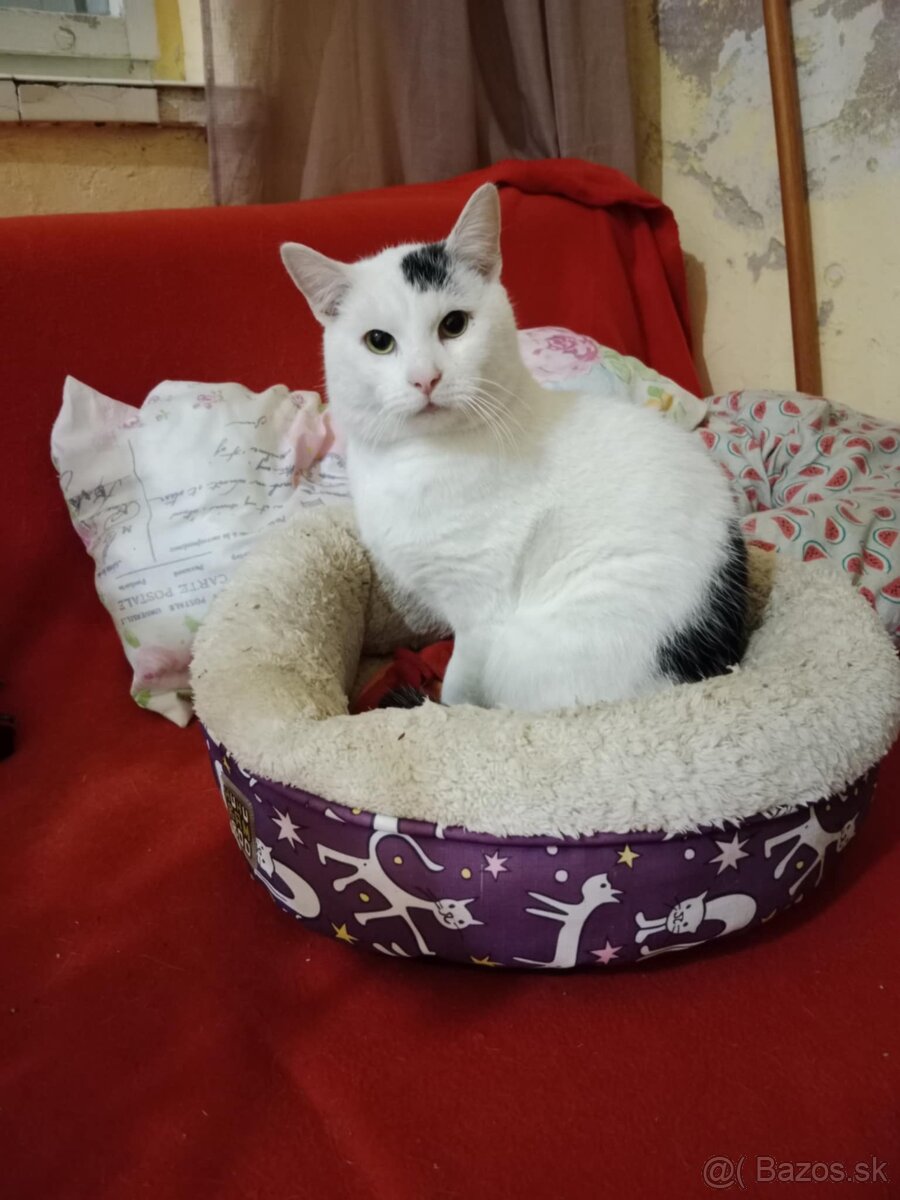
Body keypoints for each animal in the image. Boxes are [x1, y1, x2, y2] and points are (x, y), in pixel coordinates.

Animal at [281, 184, 748, 711]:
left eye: (454, 324)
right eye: (379, 341)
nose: (425, 378)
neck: (418, 459)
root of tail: (711, 668)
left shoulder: (480, 611)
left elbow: (460, 684)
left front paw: (446, 709)